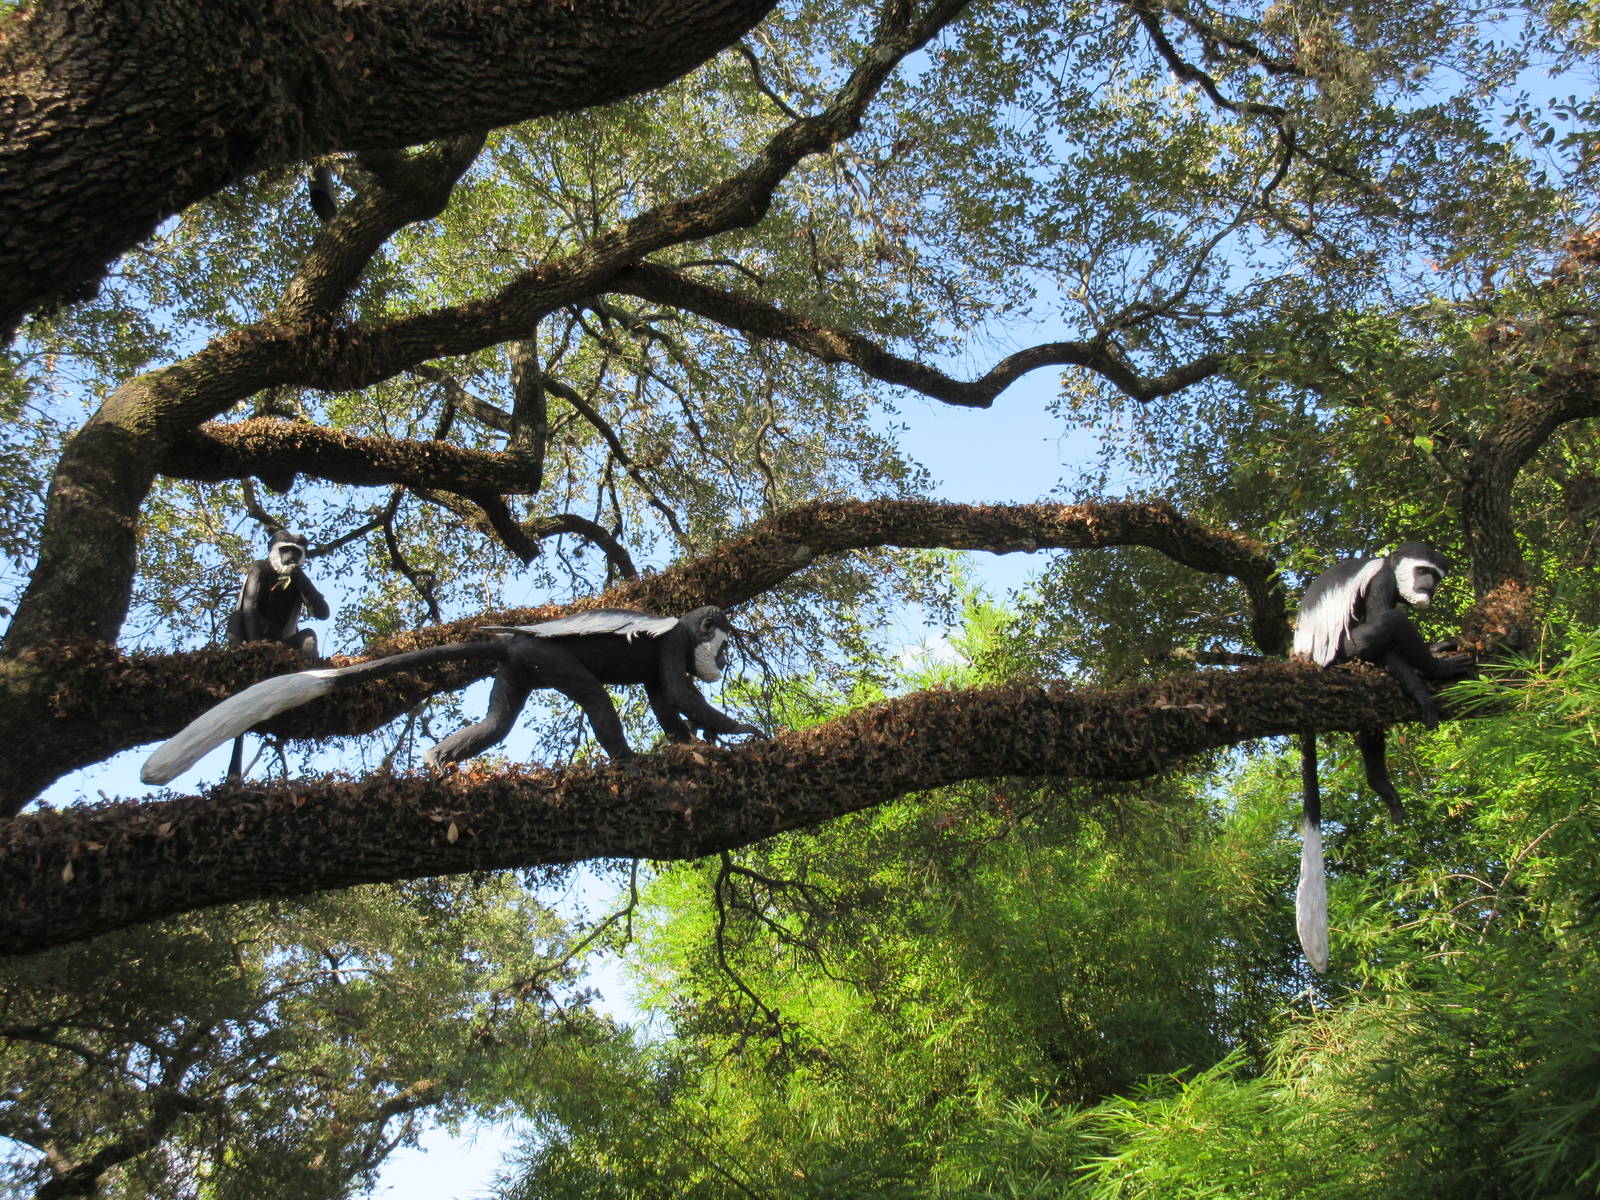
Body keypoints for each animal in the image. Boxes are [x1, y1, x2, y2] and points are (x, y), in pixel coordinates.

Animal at [142, 606, 765, 785]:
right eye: (721, 644)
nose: (724, 660)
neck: (685, 627)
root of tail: (512, 637)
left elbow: (666, 702)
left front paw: (691, 747)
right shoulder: (674, 644)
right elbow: (678, 692)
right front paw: (743, 731)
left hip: (518, 669)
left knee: (496, 725)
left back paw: (439, 761)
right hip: (547, 658)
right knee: (593, 698)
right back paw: (627, 763)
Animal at [224, 525, 331, 780]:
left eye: (295, 551)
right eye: (285, 550)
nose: (290, 558)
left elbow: (322, 611)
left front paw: (297, 573)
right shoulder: (257, 568)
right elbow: (251, 604)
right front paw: (257, 649)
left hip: (286, 643)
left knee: (308, 633)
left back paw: (308, 660)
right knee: (237, 615)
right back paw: (241, 652)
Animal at [1290, 541, 1474, 972]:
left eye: (1436, 577)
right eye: (1423, 571)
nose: (1428, 588)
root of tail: (1304, 658)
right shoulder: (1382, 583)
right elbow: (1385, 623)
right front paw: (1427, 680)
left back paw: (1381, 784)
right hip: (1341, 653)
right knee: (1390, 624)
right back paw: (1434, 668)